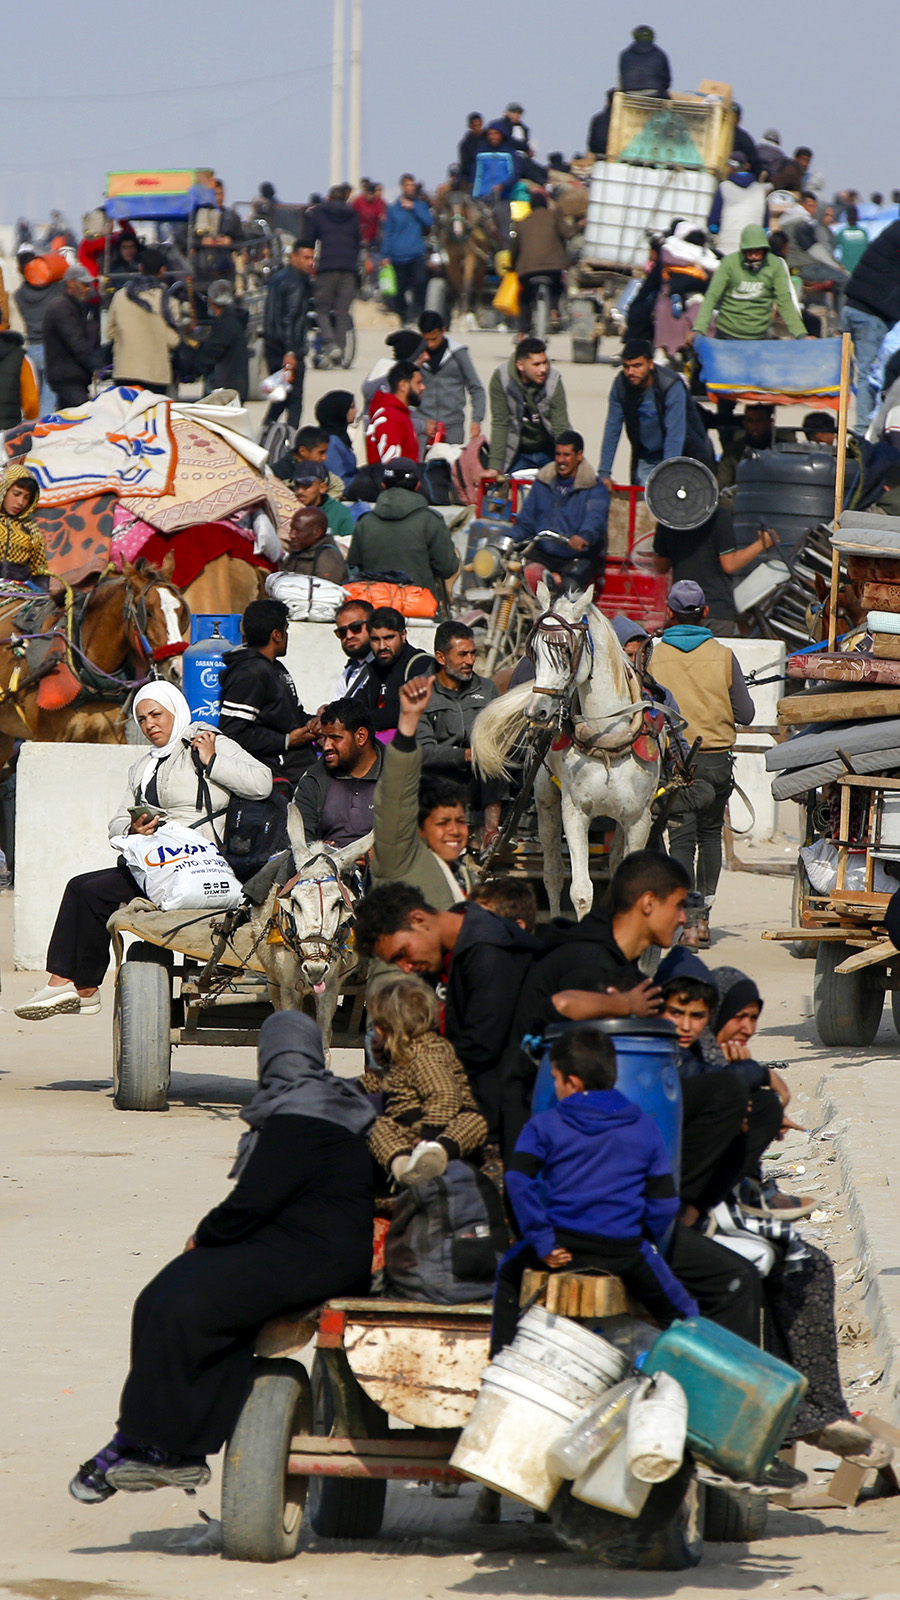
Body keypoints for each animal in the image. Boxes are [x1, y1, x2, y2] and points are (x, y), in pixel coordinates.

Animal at [470, 588, 659, 921]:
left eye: (564, 650)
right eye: (532, 650)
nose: (537, 712)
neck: (606, 740)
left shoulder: (639, 818)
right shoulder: (575, 812)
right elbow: (581, 891)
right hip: (546, 799)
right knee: (553, 873)